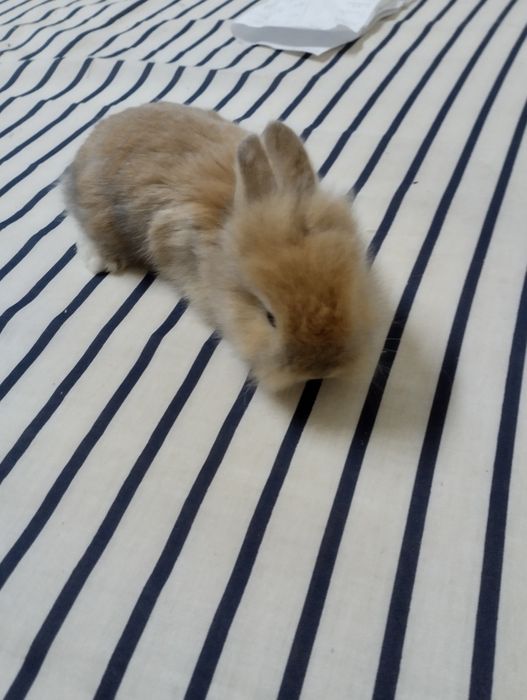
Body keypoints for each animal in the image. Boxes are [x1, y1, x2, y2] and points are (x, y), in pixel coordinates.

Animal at [63, 102, 376, 391]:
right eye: (270, 317)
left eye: (350, 295)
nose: (320, 369)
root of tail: (90, 142)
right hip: (100, 215)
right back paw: (103, 260)